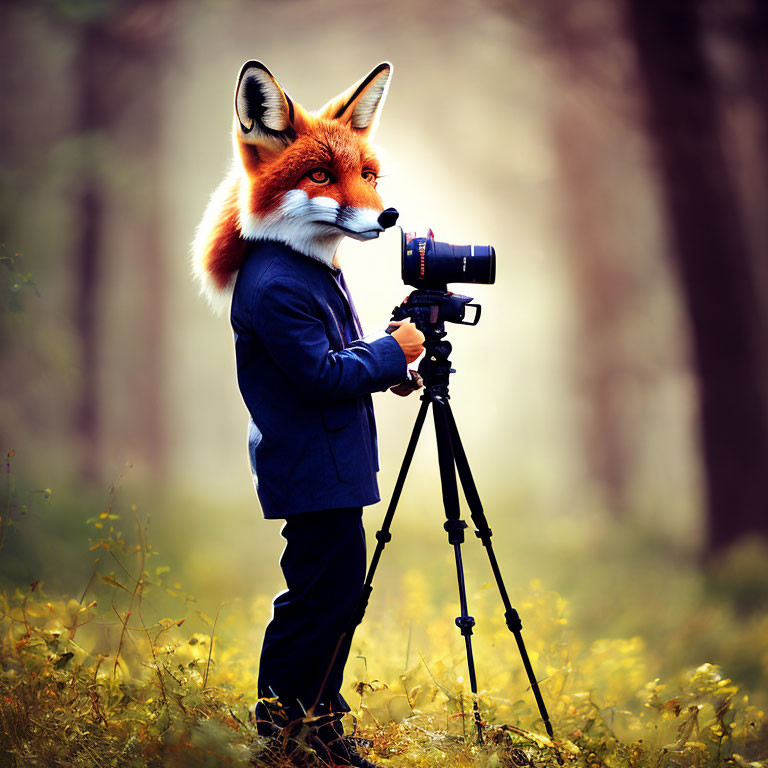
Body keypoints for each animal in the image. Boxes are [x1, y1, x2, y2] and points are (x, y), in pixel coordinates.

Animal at [190, 61, 424, 768]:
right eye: (319, 175)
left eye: (370, 176)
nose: (392, 216)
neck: (307, 263)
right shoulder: (296, 326)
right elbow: (333, 370)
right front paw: (410, 342)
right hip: (326, 529)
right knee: (315, 607)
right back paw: (291, 742)